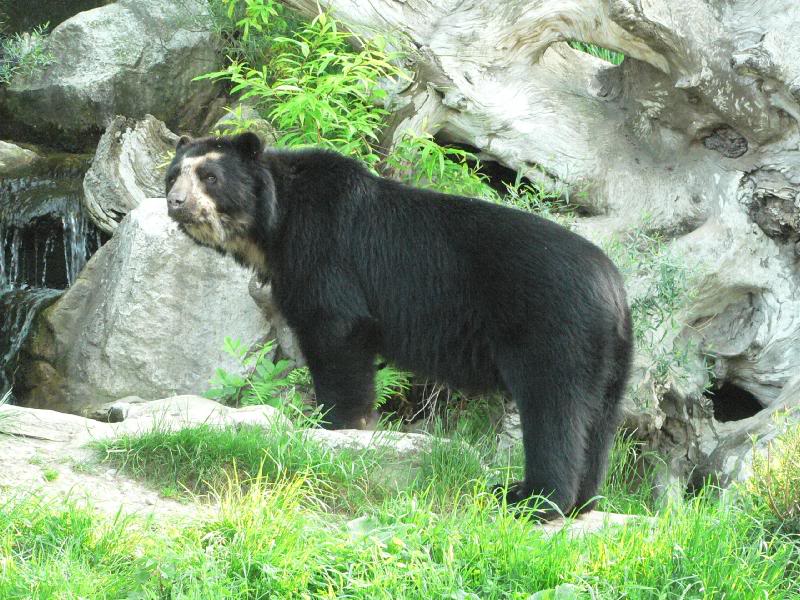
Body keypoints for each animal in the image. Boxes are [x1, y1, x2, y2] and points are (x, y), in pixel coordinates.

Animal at [165, 131, 633, 519]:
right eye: (174, 174)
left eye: (210, 176)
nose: (175, 202)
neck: (275, 224)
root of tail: (612, 288)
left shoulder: (324, 252)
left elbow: (335, 331)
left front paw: (336, 424)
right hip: (609, 360)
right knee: (598, 421)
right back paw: (584, 501)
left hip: (551, 331)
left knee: (553, 410)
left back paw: (531, 498)